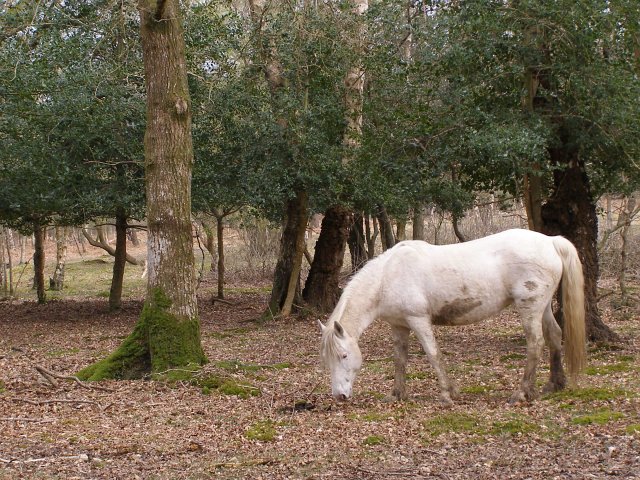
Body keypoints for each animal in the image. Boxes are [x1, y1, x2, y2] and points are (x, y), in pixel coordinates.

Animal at [318, 229, 588, 404]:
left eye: (343, 355)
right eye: (327, 360)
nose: (340, 396)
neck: (387, 276)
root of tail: (551, 241)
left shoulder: (418, 320)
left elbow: (433, 354)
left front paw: (448, 395)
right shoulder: (399, 325)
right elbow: (399, 359)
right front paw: (396, 395)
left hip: (529, 309)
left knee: (535, 344)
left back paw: (520, 394)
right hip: (542, 307)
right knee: (554, 336)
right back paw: (554, 385)